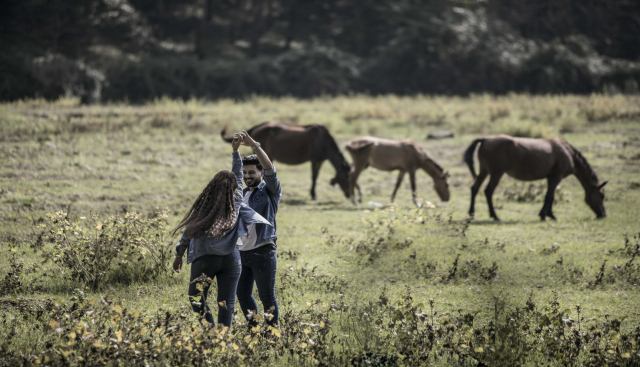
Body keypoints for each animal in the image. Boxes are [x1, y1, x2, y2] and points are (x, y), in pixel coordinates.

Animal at [220, 122, 350, 200]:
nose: (349, 195)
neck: (324, 141)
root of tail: (256, 127)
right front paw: (313, 195)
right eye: (346, 177)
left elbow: (315, 176)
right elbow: (314, 176)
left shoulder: (320, 160)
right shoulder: (315, 159)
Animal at [462, 135, 608, 221]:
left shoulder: (551, 178)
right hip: (496, 173)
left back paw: (471, 213)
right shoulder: (556, 177)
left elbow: (550, 196)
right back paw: (494, 216)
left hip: (484, 171)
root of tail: (486, 139)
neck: (568, 153)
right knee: (488, 191)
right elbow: (549, 196)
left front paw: (548, 214)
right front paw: (546, 215)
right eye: (601, 196)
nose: (603, 214)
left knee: (474, 188)